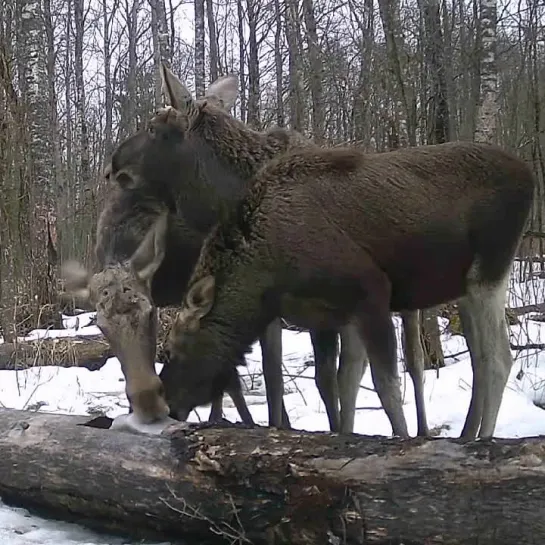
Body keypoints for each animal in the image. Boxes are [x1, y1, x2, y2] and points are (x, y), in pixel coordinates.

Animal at [63, 66, 420, 436]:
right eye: (101, 327)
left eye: (150, 316)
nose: (110, 166)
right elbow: (229, 373)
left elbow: (275, 376)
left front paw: (276, 426)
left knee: (408, 362)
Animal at [150, 103, 536, 442]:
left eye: (170, 350)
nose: (167, 405)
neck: (268, 275)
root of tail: (529, 175)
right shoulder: (333, 314)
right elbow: (343, 382)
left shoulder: (372, 292)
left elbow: (385, 387)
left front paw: (402, 440)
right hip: (466, 287)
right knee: (481, 361)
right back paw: (468, 434)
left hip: (489, 272)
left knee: (499, 358)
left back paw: (483, 440)